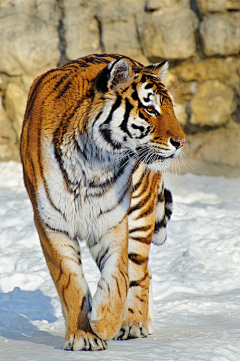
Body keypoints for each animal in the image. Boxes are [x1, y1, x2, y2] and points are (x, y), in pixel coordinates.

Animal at [20, 53, 186, 348]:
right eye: (150, 109)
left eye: (171, 109)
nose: (181, 142)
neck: (92, 160)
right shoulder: (51, 224)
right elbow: (70, 281)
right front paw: (83, 336)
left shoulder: (111, 221)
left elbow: (119, 276)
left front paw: (106, 320)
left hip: (139, 214)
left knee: (140, 272)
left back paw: (134, 323)